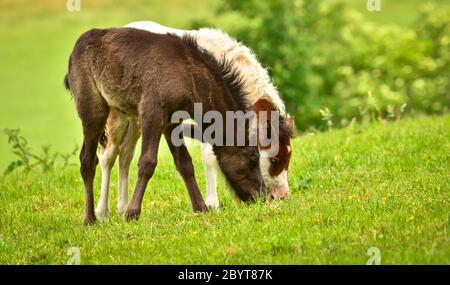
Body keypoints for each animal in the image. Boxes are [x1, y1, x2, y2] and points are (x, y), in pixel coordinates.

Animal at [64, 28, 266, 224]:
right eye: (253, 158)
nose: (262, 197)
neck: (190, 78)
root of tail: (73, 53)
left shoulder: (172, 121)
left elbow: (185, 163)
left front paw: (200, 207)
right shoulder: (152, 113)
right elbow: (147, 162)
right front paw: (132, 212)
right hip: (94, 108)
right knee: (88, 159)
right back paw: (90, 218)